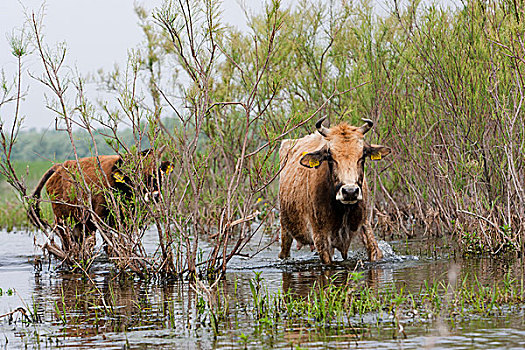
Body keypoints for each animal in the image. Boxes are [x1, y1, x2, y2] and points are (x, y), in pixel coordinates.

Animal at [29, 149, 172, 253]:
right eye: (136, 173)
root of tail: (59, 167)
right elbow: (109, 245)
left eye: (158, 171)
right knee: (66, 240)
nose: (155, 195)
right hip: (62, 219)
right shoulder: (100, 219)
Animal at [278, 116, 388, 264]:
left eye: (363, 155)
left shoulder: (365, 226)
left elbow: (375, 251)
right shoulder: (321, 238)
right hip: (285, 229)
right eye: (330, 156)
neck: (343, 210)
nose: (350, 192)